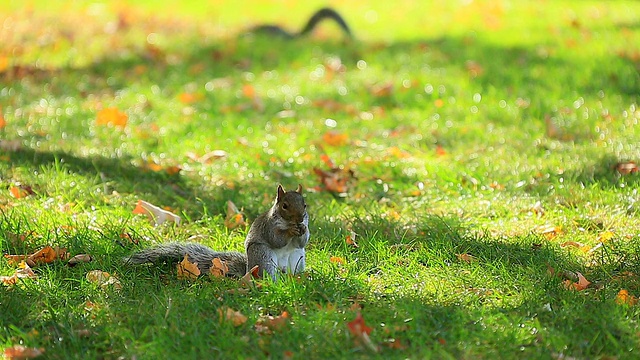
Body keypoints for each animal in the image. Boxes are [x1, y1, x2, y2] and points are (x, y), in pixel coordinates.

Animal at [124, 186, 308, 282]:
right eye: (284, 206)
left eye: (305, 205)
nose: (300, 218)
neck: (286, 222)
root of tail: (247, 270)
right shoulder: (268, 226)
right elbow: (276, 239)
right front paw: (290, 231)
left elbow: (302, 242)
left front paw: (303, 230)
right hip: (263, 255)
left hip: (298, 258)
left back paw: (299, 278)